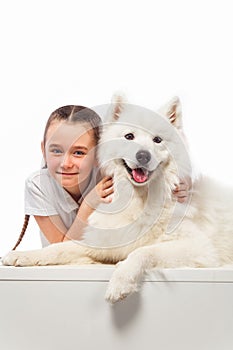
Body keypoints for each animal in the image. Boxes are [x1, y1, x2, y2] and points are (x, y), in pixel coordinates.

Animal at [2, 96, 233, 304]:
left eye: (157, 140)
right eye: (129, 136)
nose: (143, 156)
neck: (138, 201)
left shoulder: (199, 248)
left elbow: (142, 251)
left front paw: (121, 283)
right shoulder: (102, 242)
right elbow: (57, 249)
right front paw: (22, 255)